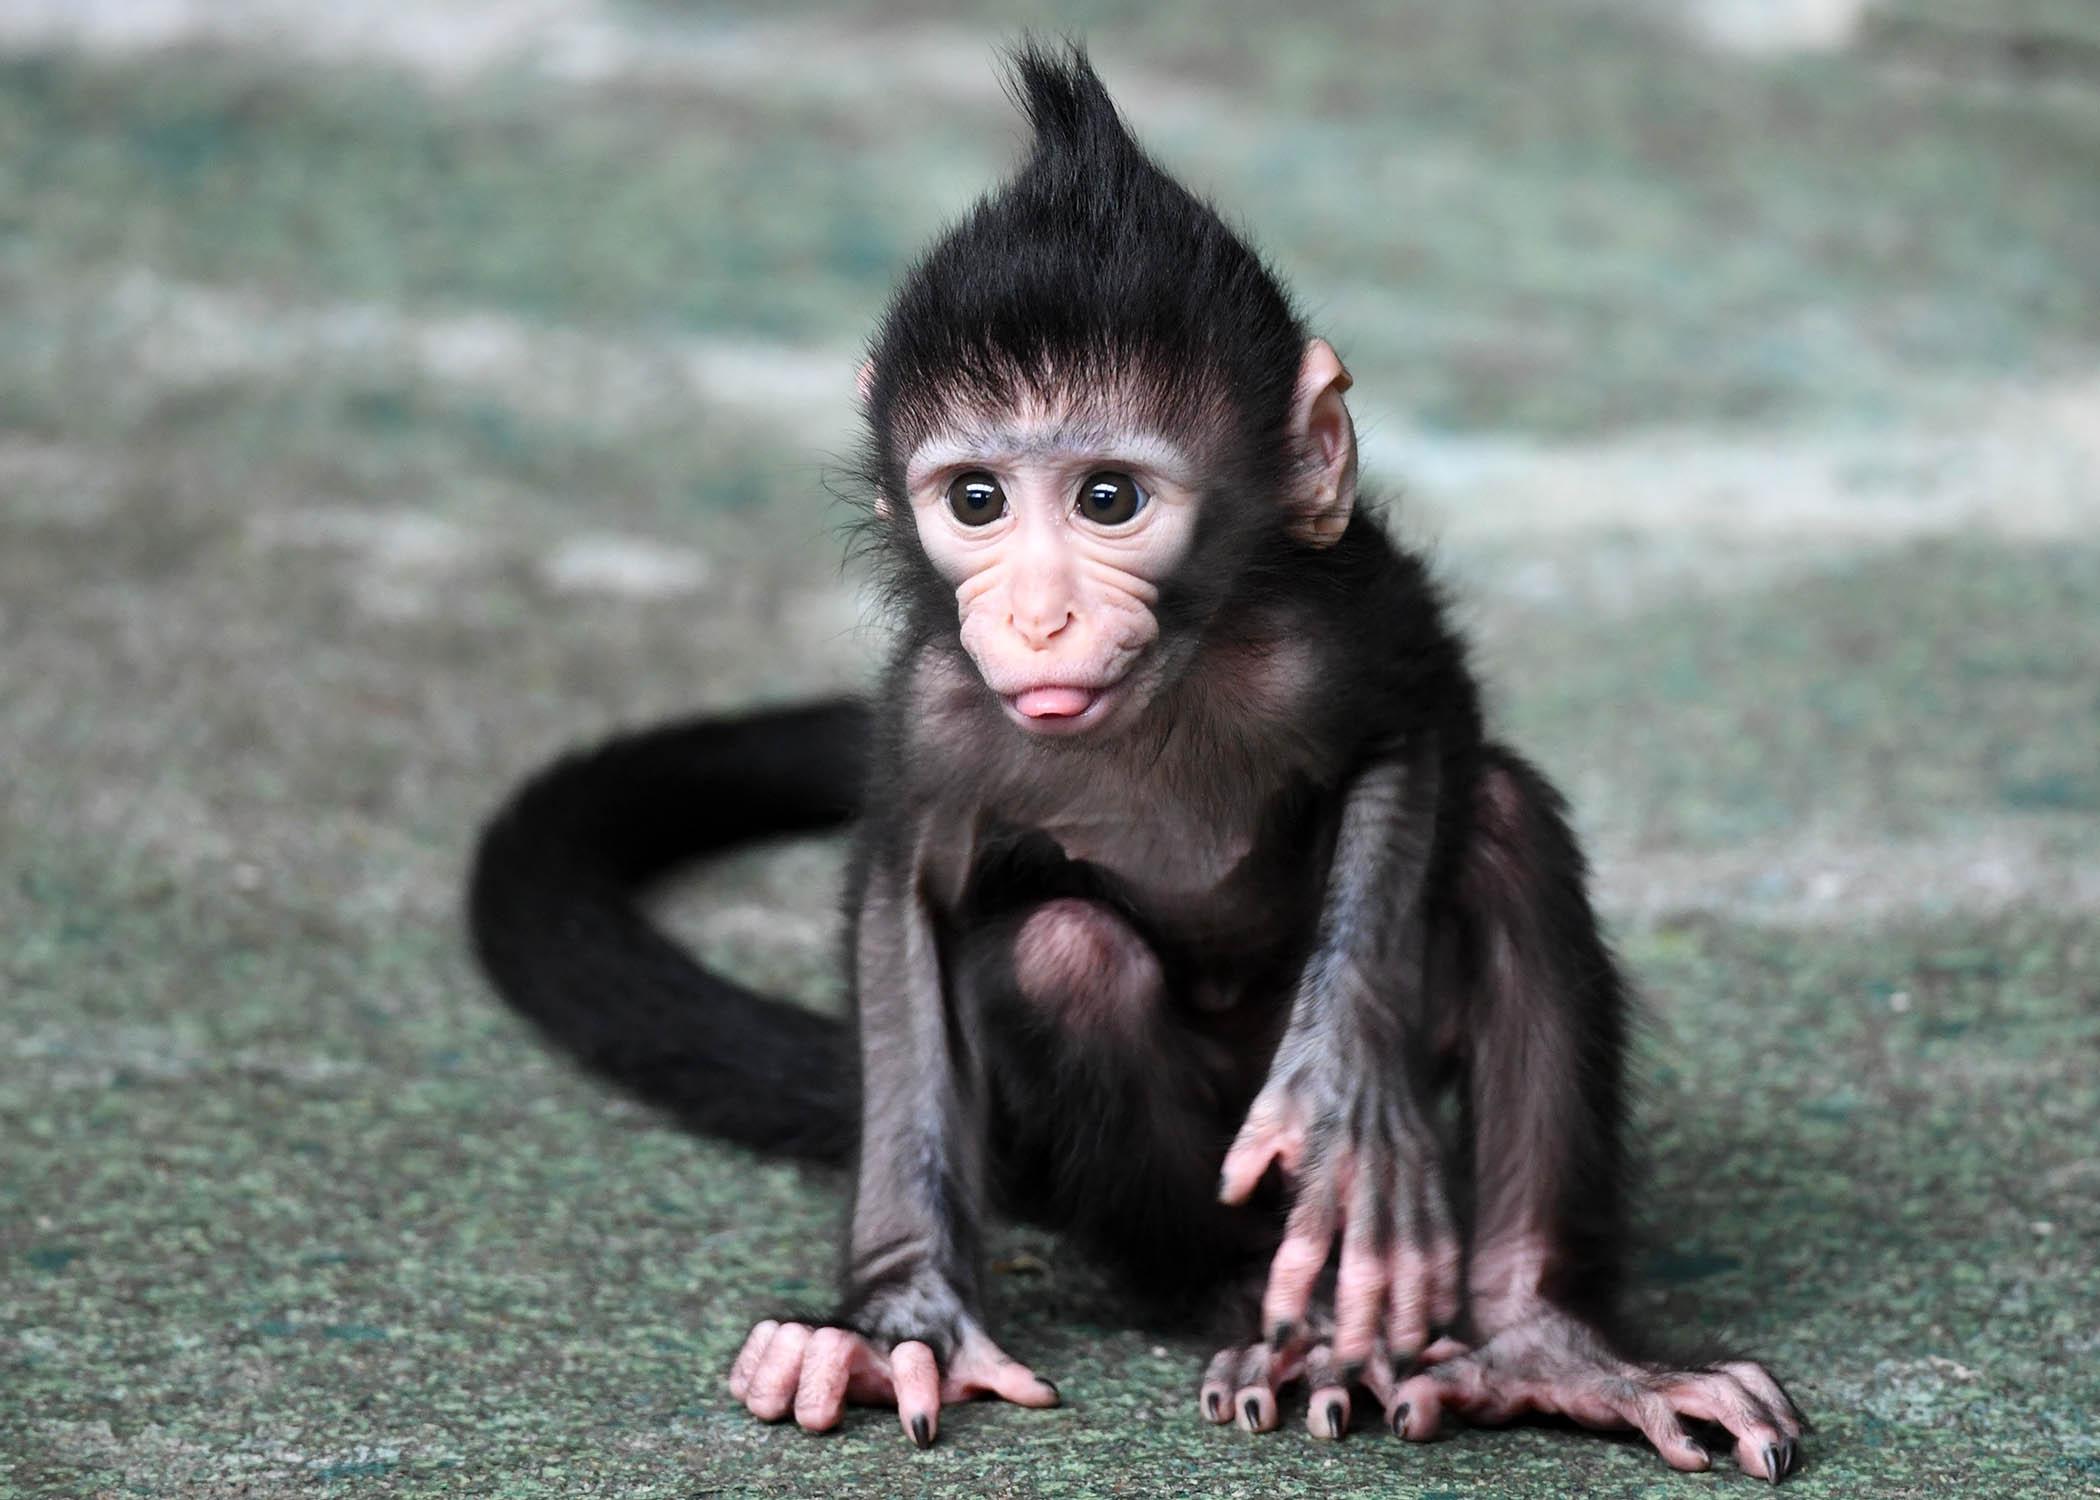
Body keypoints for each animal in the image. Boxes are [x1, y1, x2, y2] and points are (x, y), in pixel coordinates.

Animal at [472, 40, 1805, 1478]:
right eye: (978, 501)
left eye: (1108, 499)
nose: (1037, 615)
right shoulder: (938, 708)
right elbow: (906, 903)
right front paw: (898, 1318)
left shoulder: (1339, 609)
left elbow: (1421, 725)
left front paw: (1345, 1091)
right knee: (1069, 953)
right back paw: (1245, 1306)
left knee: (1501, 822)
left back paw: (1536, 1346)